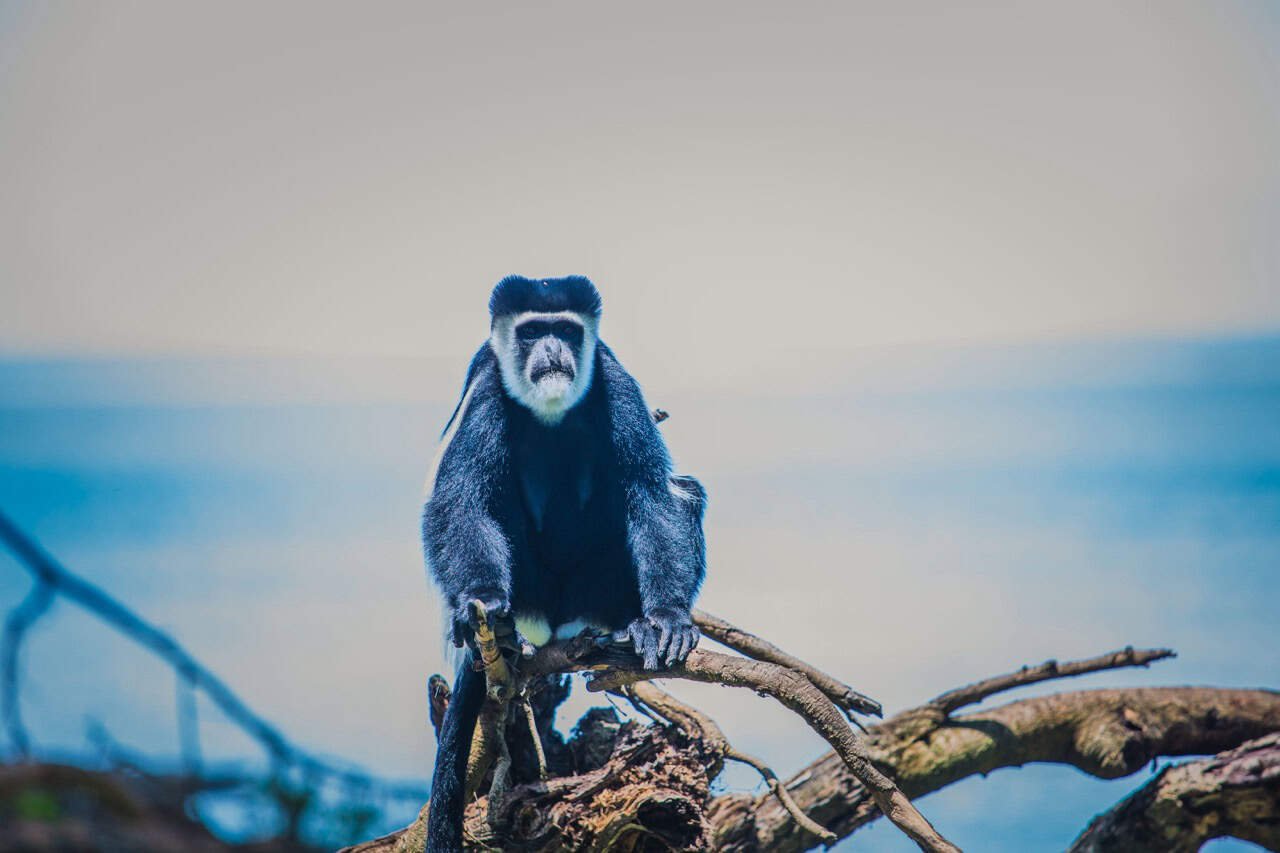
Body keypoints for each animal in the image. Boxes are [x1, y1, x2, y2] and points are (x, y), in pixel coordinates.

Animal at [421, 275, 707, 851]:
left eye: (567, 331)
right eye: (533, 331)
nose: (553, 351)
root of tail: (556, 619)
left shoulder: (616, 385)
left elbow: (653, 493)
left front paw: (665, 619)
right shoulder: (488, 391)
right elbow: (461, 501)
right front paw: (483, 600)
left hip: (593, 585)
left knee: (681, 491)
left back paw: (630, 628)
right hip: (533, 585)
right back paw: (502, 633)